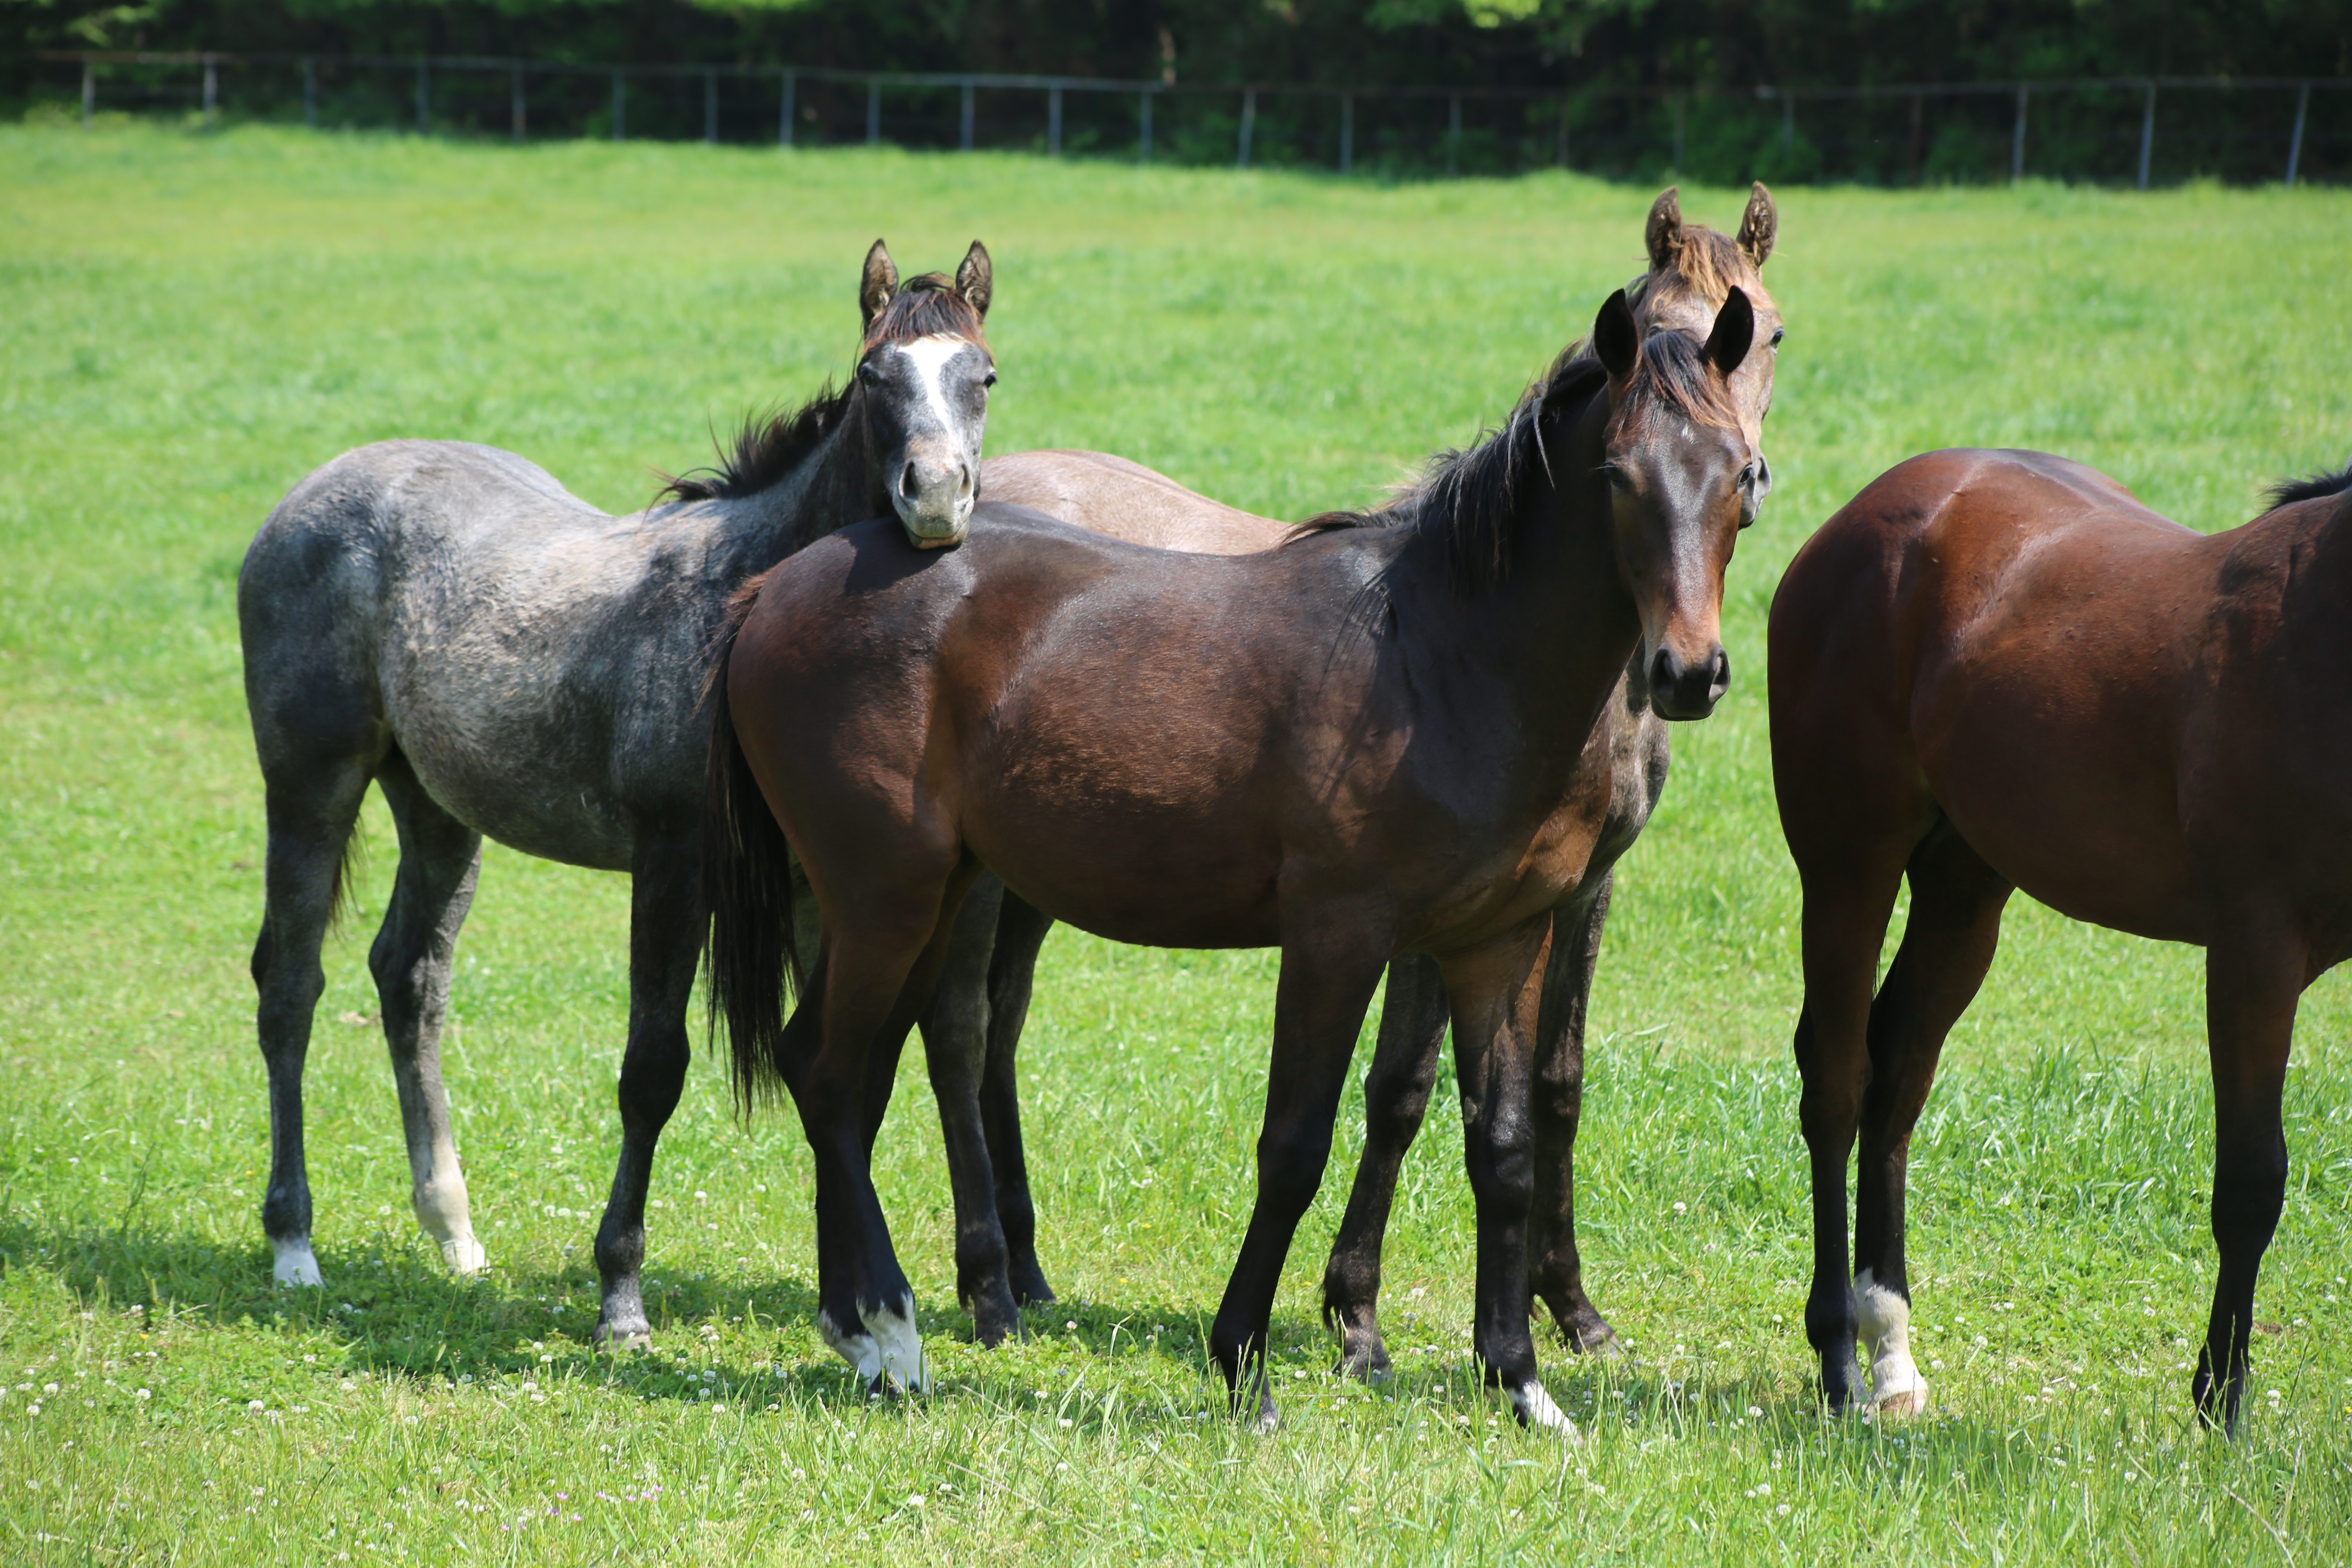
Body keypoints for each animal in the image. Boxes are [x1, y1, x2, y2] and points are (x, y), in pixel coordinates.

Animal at [243, 245, 997, 1354]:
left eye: (981, 374)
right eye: (873, 378)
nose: (935, 499)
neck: (742, 609)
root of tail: (308, 492)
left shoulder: (820, 888)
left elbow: (848, 1075)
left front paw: (853, 1314)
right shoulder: (672, 862)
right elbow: (654, 1067)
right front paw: (622, 1298)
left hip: (440, 809)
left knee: (410, 977)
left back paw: (454, 1234)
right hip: (311, 784)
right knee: (291, 983)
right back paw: (294, 1245)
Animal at [701, 288, 1768, 1429]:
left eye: (1739, 473)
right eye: (1616, 475)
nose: (1689, 672)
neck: (1445, 656)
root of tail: (771, 589)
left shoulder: (1500, 943)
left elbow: (1506, 1149)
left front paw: (1519, 1380)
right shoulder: (1338, 939)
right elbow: (1294, 1147)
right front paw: (1243, 1364)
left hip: (928, 898)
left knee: (845, 1074)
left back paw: (860, 1327)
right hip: (885, 899)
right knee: (825, 1069)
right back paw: (894, 1336)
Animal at [1768, 446, 2352, 1429]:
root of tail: (1871, 511)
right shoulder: (2254, 950)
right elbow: (2250, 1182)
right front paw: (2221, 1405)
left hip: (1963, 892)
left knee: (1898, 1078)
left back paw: (1891, 1352)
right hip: (1849, 867)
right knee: (1841, 1082)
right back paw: (1841, 1359)